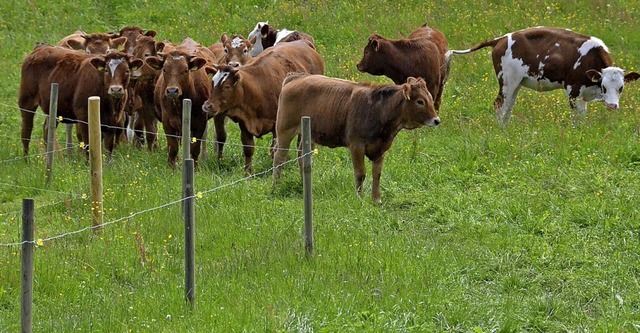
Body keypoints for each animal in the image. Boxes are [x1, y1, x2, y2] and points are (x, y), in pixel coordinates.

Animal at [146, 38, 228, 167]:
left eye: (185, 70)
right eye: (164, 69)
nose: (172, 90)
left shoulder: (200, 121)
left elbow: (195, 148)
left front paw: (195, 167)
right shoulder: (167, 121)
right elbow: (173, 147)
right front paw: (171, 166)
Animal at [204, 39, 324, 174]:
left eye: (227, 87)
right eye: (212, 83)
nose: (207, 106)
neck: (258, 86)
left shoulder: (277, 124)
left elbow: (275, 149)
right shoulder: (245, 122)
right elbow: (248, 148)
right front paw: (248, 172)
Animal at [272, 74, 442, 202]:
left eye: (430, 97)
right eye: (420, 101)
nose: (436, 120)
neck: (378, 110)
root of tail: (296, 77)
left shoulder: (381, 149)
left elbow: (377, 174)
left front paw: (376, 199)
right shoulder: (356, 146)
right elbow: (360, 173)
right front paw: (359, 198)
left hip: (308, 134)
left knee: (302, 157)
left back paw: (304, 185)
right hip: (284, 130)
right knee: (279, 156)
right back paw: (276, 184)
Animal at [444, 26, 640, 123]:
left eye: (621, 87)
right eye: (604, 86)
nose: (613, 105)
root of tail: (502, 38)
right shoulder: (572, 89)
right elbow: (578, 116)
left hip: (515, 84)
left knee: (508, 107)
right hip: (507, 82)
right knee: (499, 105)